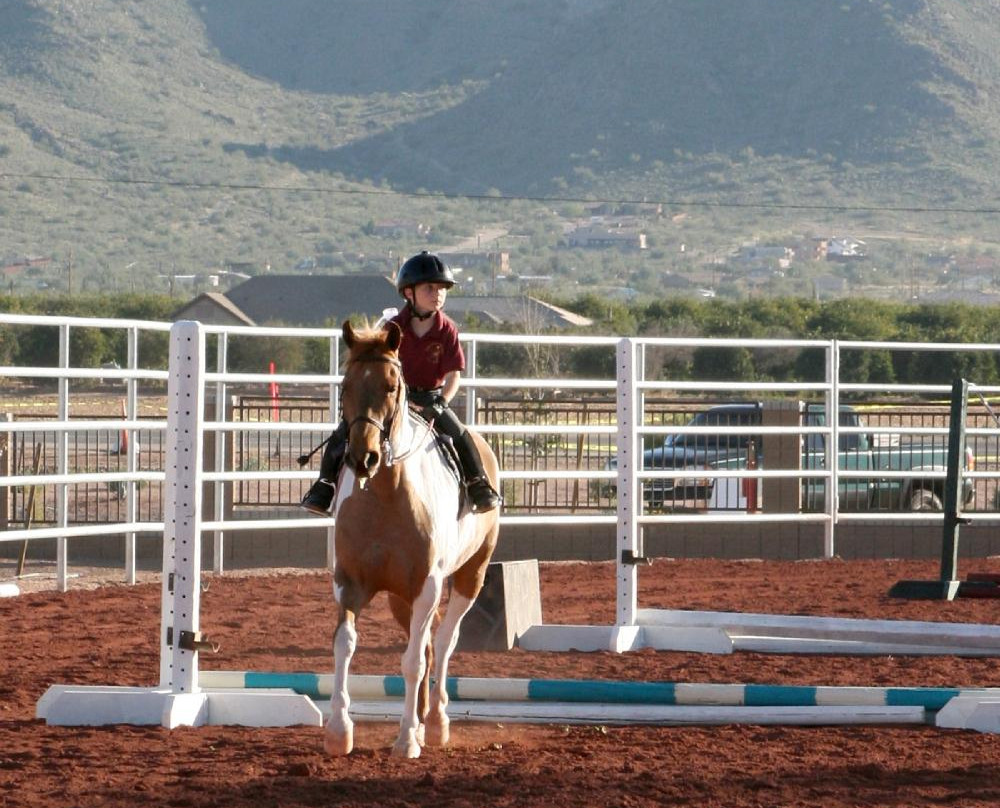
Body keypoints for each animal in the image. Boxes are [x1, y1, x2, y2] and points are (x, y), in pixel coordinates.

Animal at [326, 320, 504, 756]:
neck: (386, 494)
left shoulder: (428, 585)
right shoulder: (349, 584)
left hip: (469, 578)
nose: (363, 458)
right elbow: (345, 645)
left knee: (442, 642)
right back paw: (423, 720)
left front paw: (406, 737)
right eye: (346, 386)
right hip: (399, 598)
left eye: (392, 386)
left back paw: (435, 723)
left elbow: (413, 661)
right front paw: (339, 730)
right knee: (423, 642)